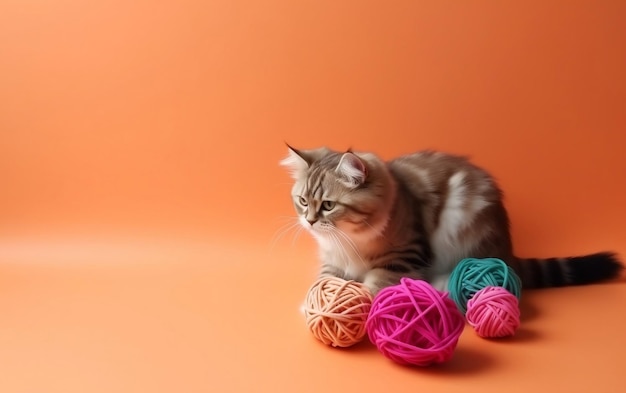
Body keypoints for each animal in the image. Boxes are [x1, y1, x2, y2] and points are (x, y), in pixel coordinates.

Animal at [282, 145, 620, 294]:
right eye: (303, 202)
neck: (350, 241)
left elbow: (376, 284)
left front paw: (358, 304)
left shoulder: (405, 254)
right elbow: (324, 279)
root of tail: (508, 251)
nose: (309, 222)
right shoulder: (332, 258)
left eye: (328, 205)